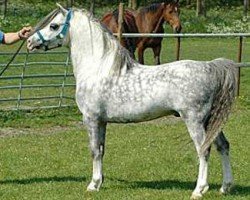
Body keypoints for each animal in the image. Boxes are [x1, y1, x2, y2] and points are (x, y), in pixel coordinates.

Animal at [26, 4, 236, 198]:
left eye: (53, 25)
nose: (29, 41)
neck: (98, 67)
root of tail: (211, 67)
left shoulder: (91, 119)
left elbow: (94, 150)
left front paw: (93, 185)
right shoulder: (102, 121)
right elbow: (101, 150)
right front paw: (100, 182)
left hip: (195, 121)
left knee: (204, 150)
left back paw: (199, 190)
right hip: (211, 121)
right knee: (223, 146)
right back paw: (225, 187)